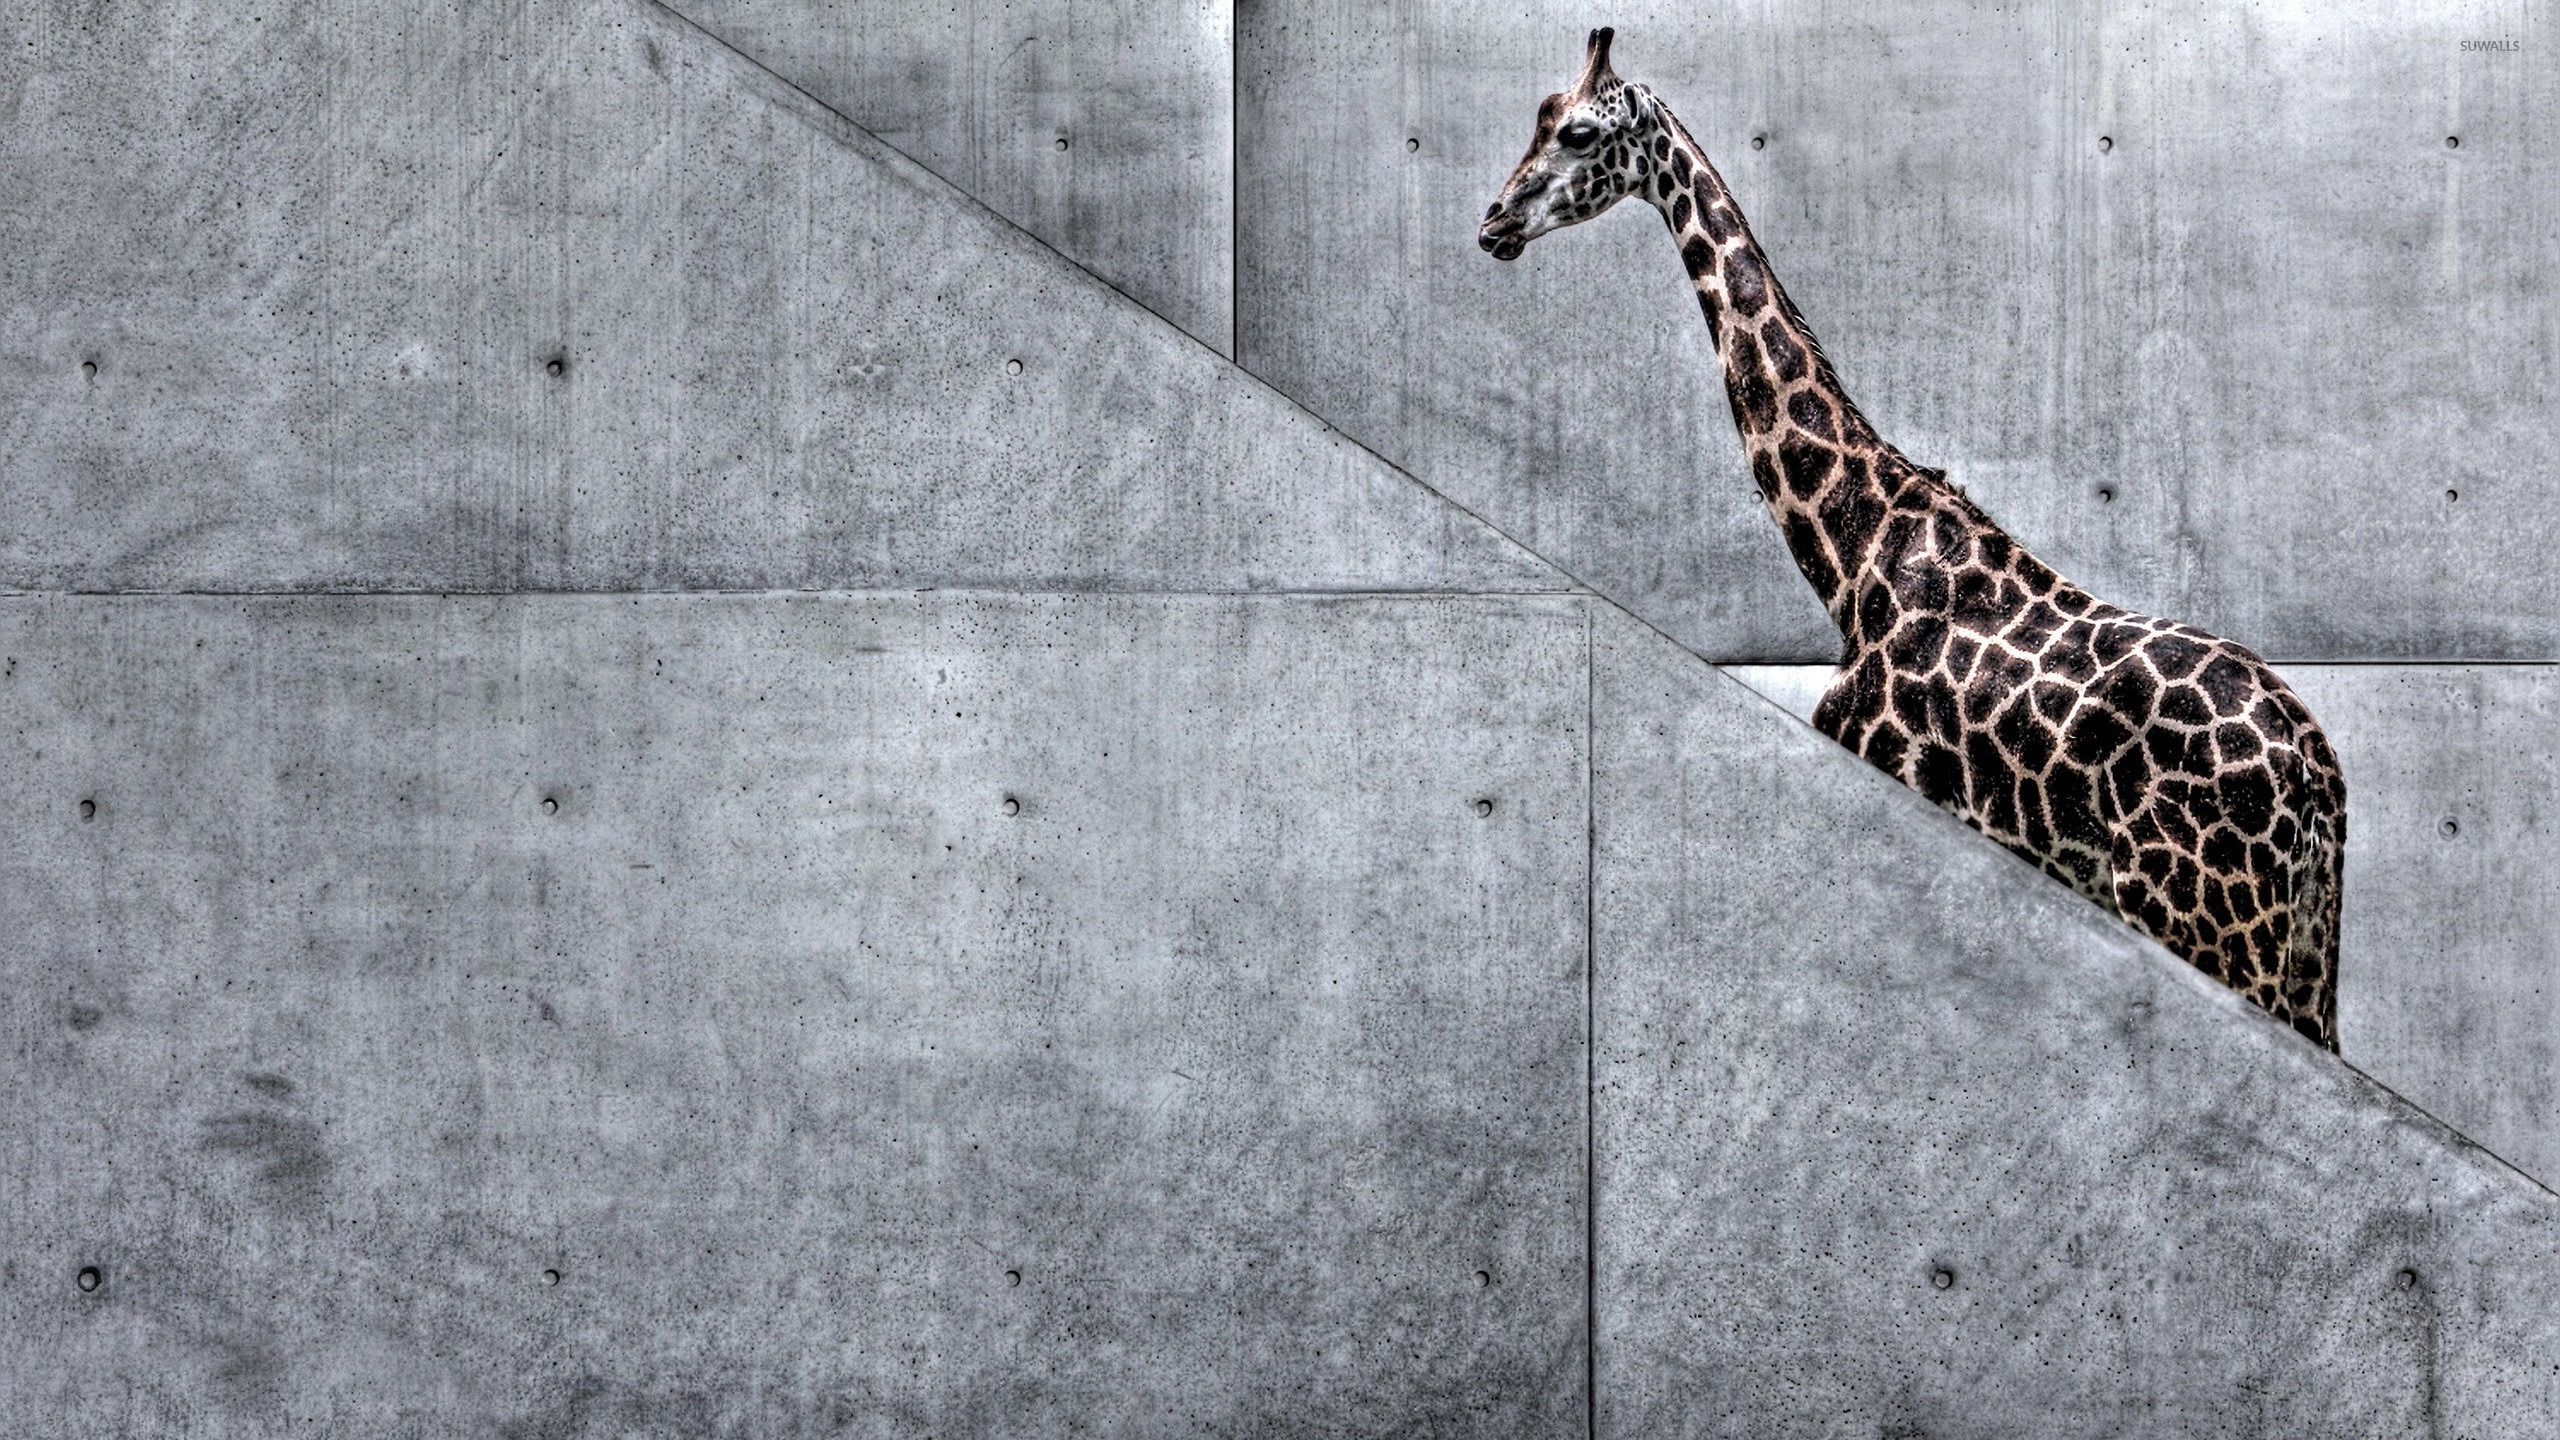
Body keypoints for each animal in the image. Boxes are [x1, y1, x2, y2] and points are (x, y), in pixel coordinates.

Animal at [1479, 28, 2348, 1050]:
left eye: (1578, 131)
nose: (1493, 223)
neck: (1853, 558)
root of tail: (2316, 776)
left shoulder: (1881, 766)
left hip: (2206, 923)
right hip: (2296, 961)